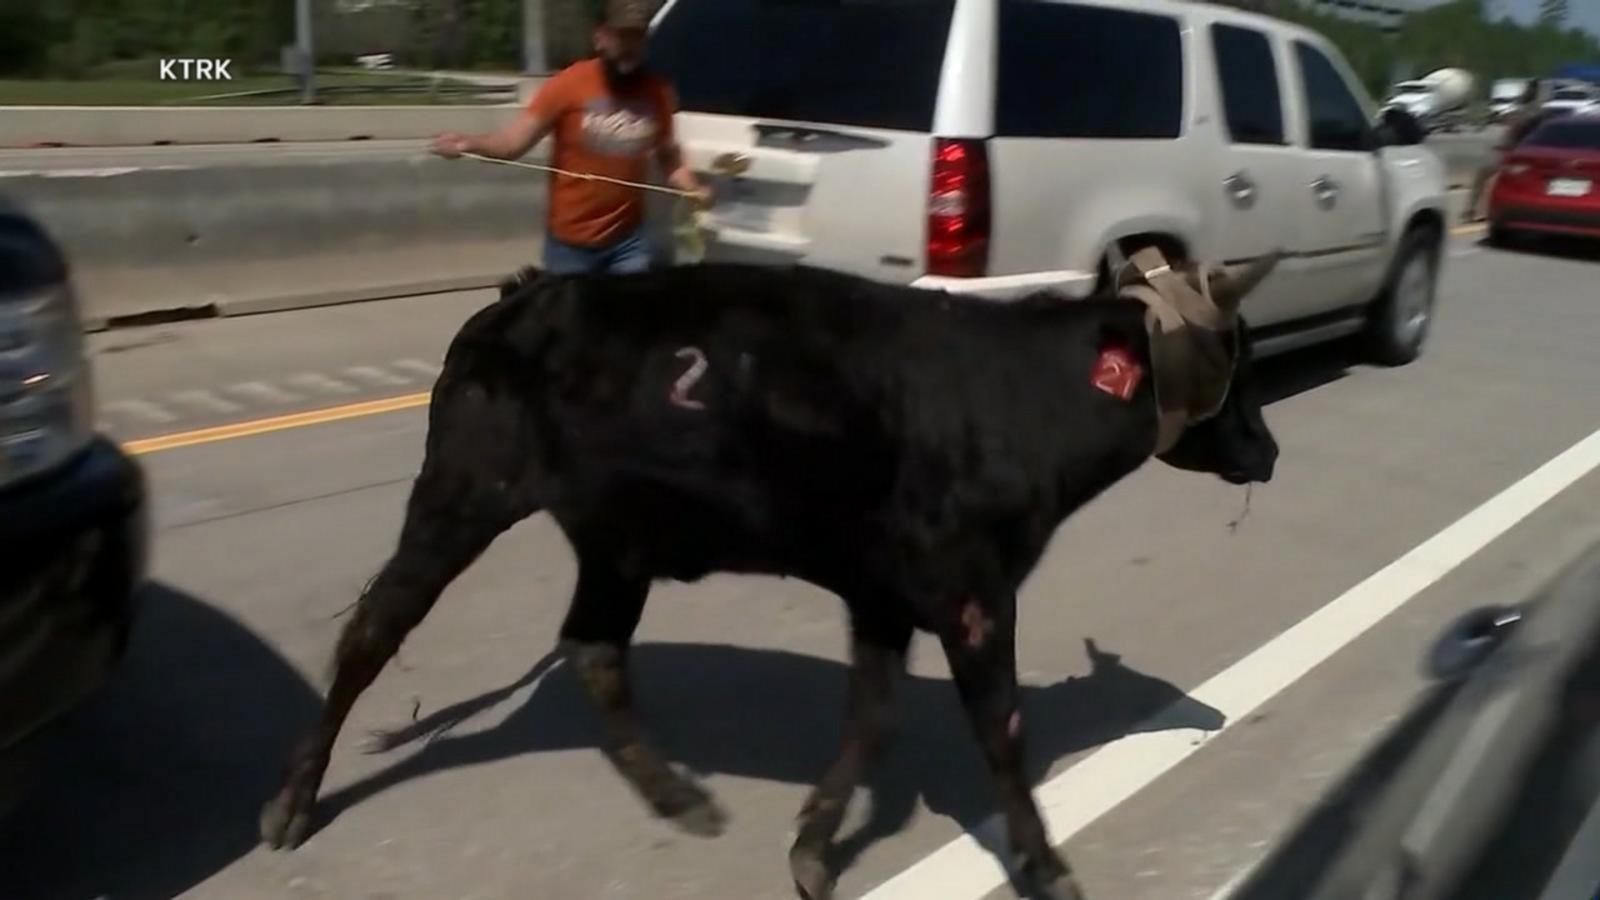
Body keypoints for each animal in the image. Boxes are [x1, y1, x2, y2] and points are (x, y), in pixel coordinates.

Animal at [265, 246, 1286, 896]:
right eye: (1234, 353)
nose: (1270, 449)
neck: (1023, 400)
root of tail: (524, 294)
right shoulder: (972, 590)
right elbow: (1000, 731)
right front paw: (1048, 868)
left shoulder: (886, 594)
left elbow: (874, 718)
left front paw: (811, 846)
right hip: (463, 493)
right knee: (372, 632)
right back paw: (292, 804)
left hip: (616, 539)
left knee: (593, 649)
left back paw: (680, 797)